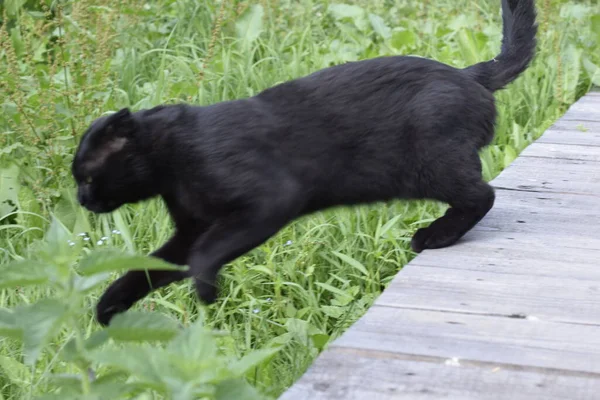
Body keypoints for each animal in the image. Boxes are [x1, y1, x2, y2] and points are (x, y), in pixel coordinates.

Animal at [71, 0, 540, 324]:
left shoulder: (269, 200)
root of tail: (468, 74)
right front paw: (110, 305)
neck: (175, 166)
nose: (80, 200)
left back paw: (433, 235)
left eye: (88, 177)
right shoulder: (190, 230)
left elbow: (207, 253)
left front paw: (204, 291)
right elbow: (146, 268)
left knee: (482, 194)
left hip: (430, 164)